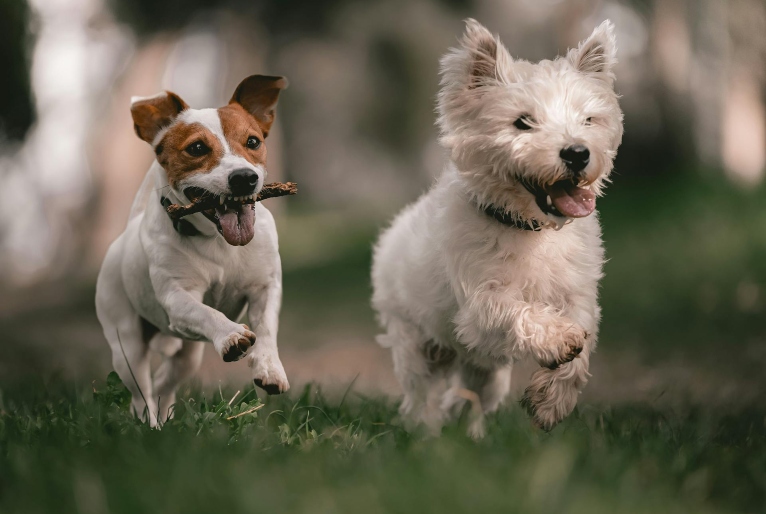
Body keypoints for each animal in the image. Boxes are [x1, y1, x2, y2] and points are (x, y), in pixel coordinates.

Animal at [94, 73, 292, 424]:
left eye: (253, 142)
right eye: (197, 148)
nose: (244, 177)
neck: (219, 241)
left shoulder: (265, 286)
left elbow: (266, 326)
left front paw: (269, 368)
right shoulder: (177, 297)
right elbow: (207, 312)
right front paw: (232, 335)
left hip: (188, 355)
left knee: (165, 382)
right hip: (126, 344)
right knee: (142, 393)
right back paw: (150, 426)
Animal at [372, 21, 624, 436]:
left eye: (587, 119)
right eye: (523, 122)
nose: (577, 153)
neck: (531, 229)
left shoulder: (578, 294)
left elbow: (582, 340)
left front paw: (550, 402)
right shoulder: (477, 304)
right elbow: (513, 311)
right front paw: (559, 339)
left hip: (481, 369)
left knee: (468, 399)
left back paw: (470, 437)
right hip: (414, 339)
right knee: (421, 394)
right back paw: (424, 433)